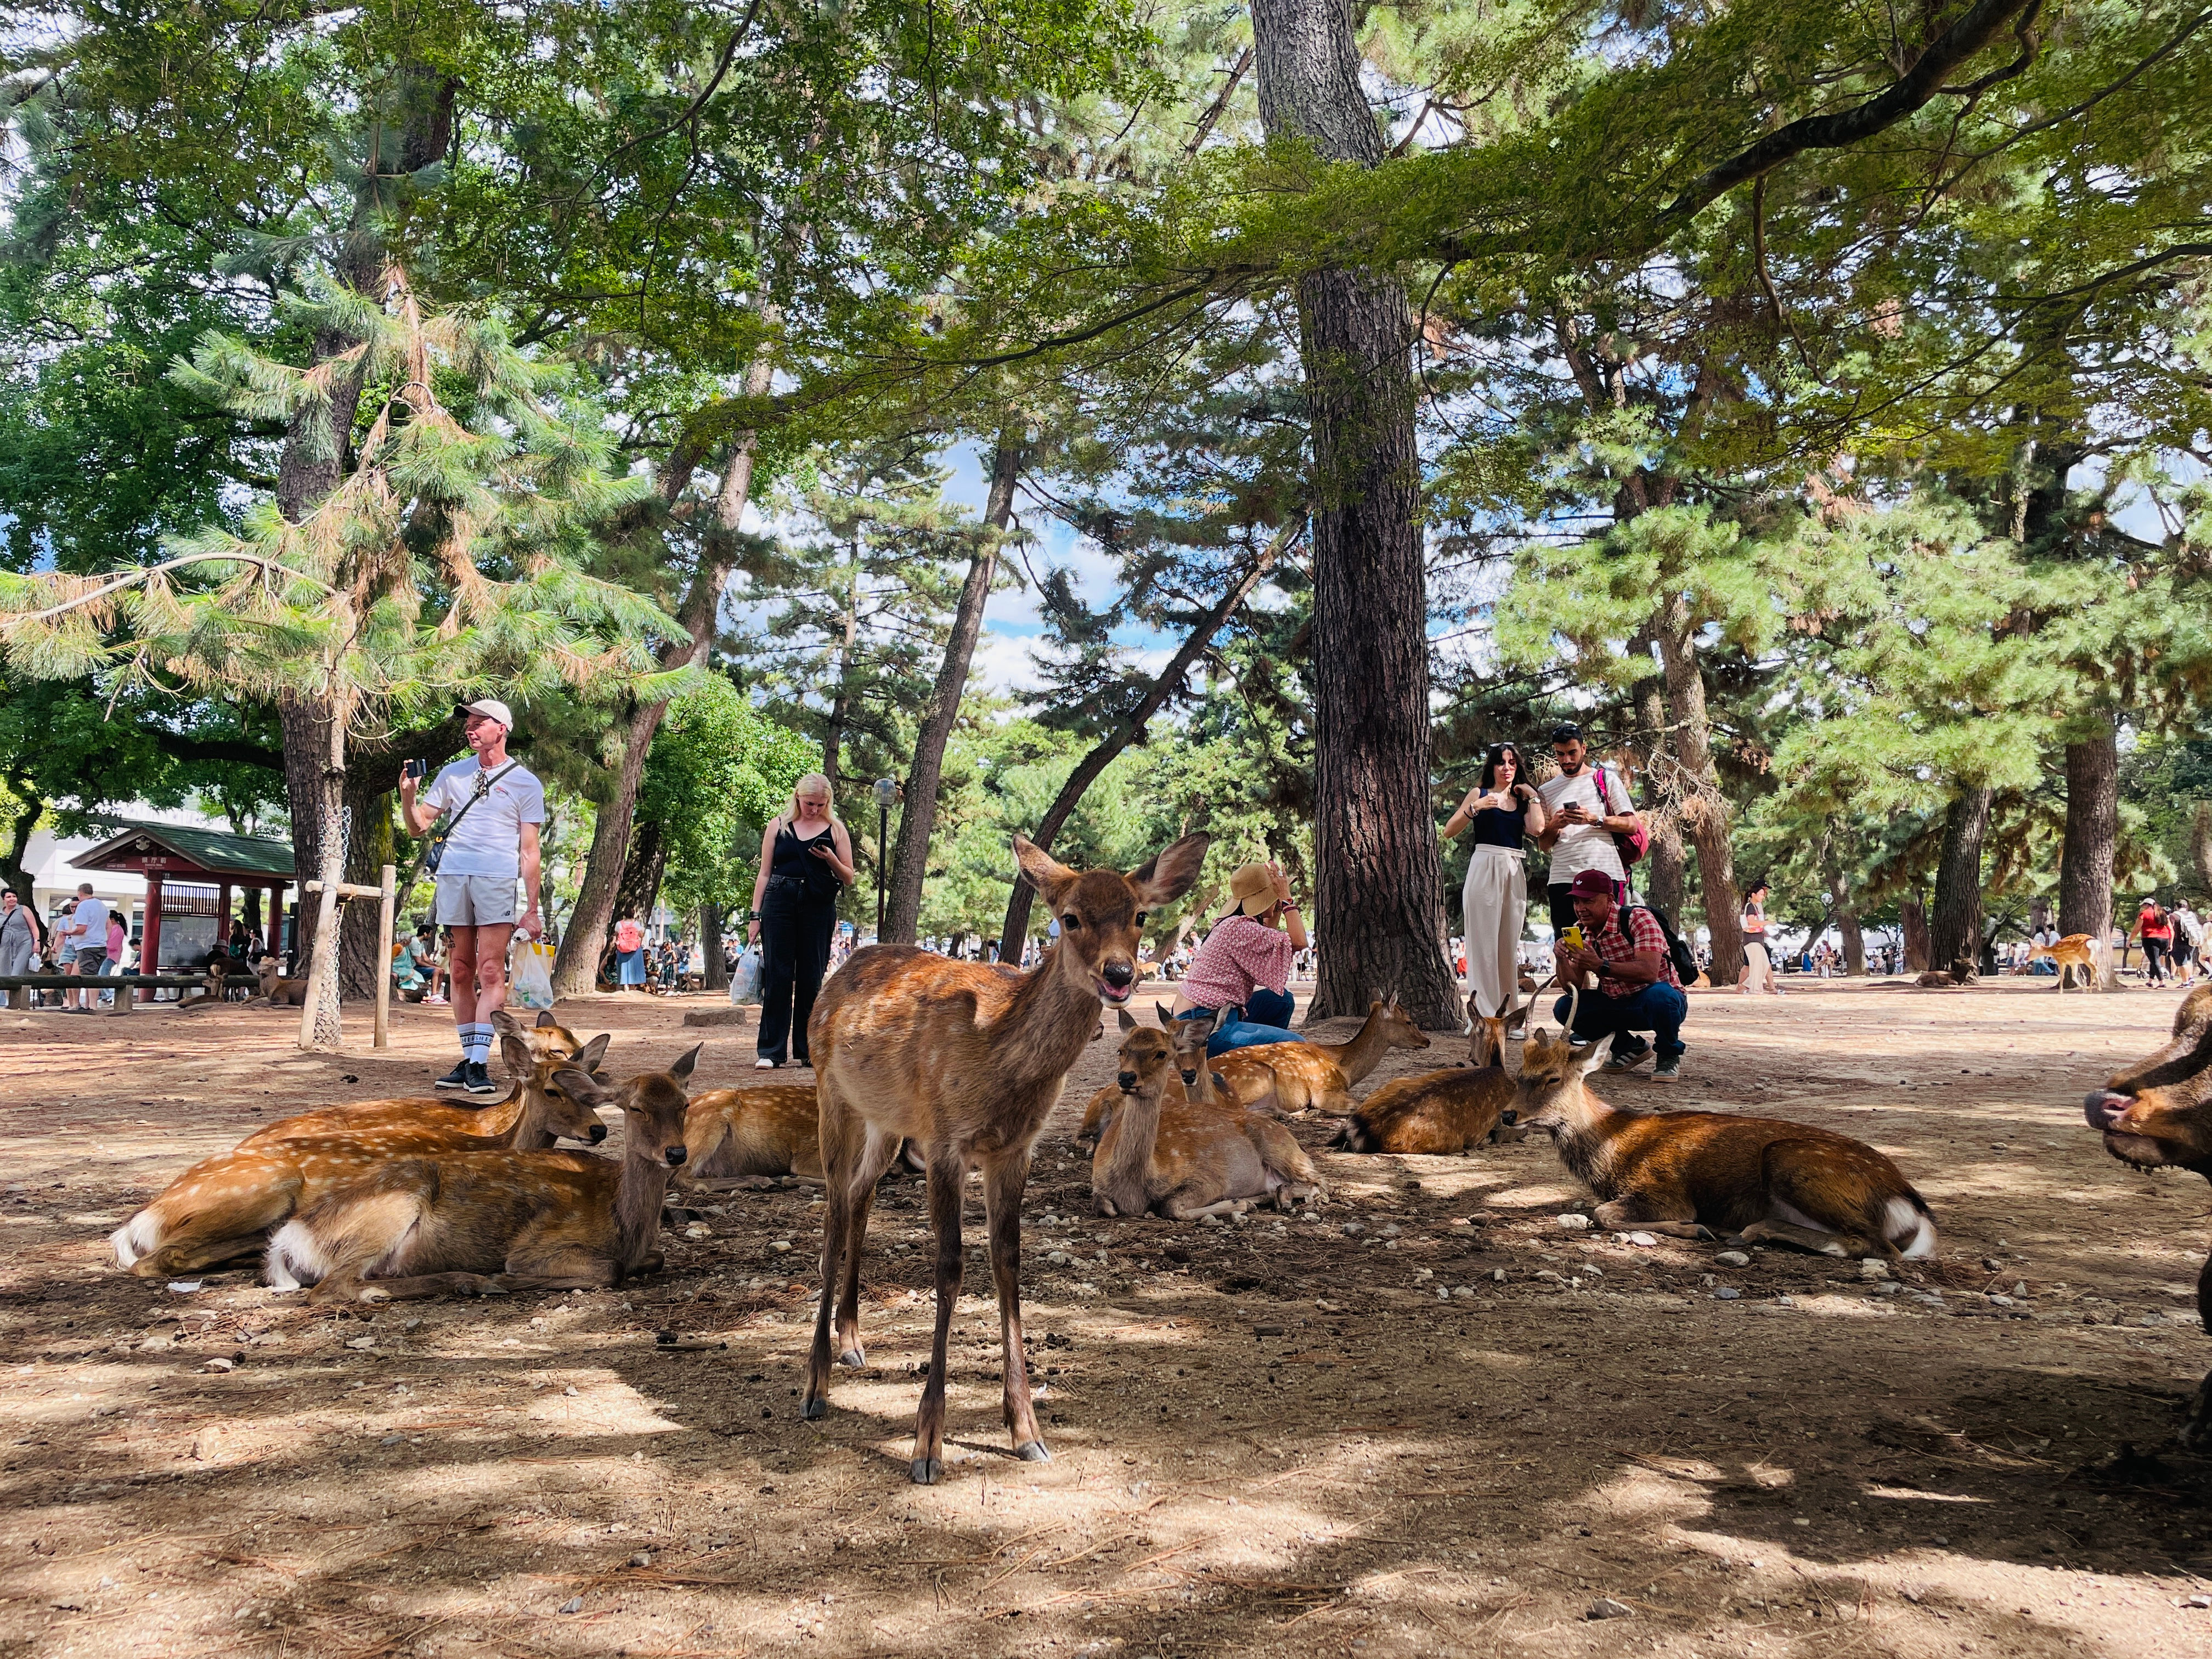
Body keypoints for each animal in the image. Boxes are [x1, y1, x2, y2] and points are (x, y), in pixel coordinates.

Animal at [109, 1034, 610, 1278]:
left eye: (593, 1086)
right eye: (552, 1089)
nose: (598, 1129)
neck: (499, 1140)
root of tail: (146, 1216)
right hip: (260, 1191)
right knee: (155, 1260)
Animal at [265, 1046, 699, 1301]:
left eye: (684, 1104)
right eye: (635, 1108)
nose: (676, 1152)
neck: (623, 1224)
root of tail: (291, 1239)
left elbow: (655, 1258)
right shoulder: (539, 1246)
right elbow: (611, 1269)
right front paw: (505, 1278)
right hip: (390, 1205)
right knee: (331, 1288)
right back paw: (467, 1281)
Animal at [800, 831, 1208, 1484]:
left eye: (1140, 916)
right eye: (1069, 918)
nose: (1120, 973)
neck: (1003, 1062)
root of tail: (843, 971)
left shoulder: (1015, 1149)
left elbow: (1009, 1262)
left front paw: (1026, 1431)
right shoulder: (946, 1139)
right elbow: (949, 1266)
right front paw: (927, 1445)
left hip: (887, 1120)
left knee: (862, 1196)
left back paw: (854, 1343)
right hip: (830, 1092)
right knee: (835, 1210)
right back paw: (815, 1385)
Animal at [1092, 1009, 1323, 1219]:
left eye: (1162, 1053)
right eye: (1121, 1050)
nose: (1126, 1077)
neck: (1133, 1189)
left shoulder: (1210, 1179)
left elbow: (1170, 1206)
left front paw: (1238, 1203)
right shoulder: (1097, 1185)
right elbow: (1104, 1206)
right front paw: (1242, 1202)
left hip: (1282, 1150)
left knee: (1319, 1181)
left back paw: (1280, 1200)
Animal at [1509, 992, 1938, 1261]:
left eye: (1553, 1078)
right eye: (1518, 1075)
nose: (1509, 1115)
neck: (1614, 1149)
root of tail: (1909, 1202)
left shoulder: (1664, 1190)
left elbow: (1605, 1214)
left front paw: (1695, 1228)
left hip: (1793, 1163)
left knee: (1880, 1246)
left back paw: (1749, 1232)